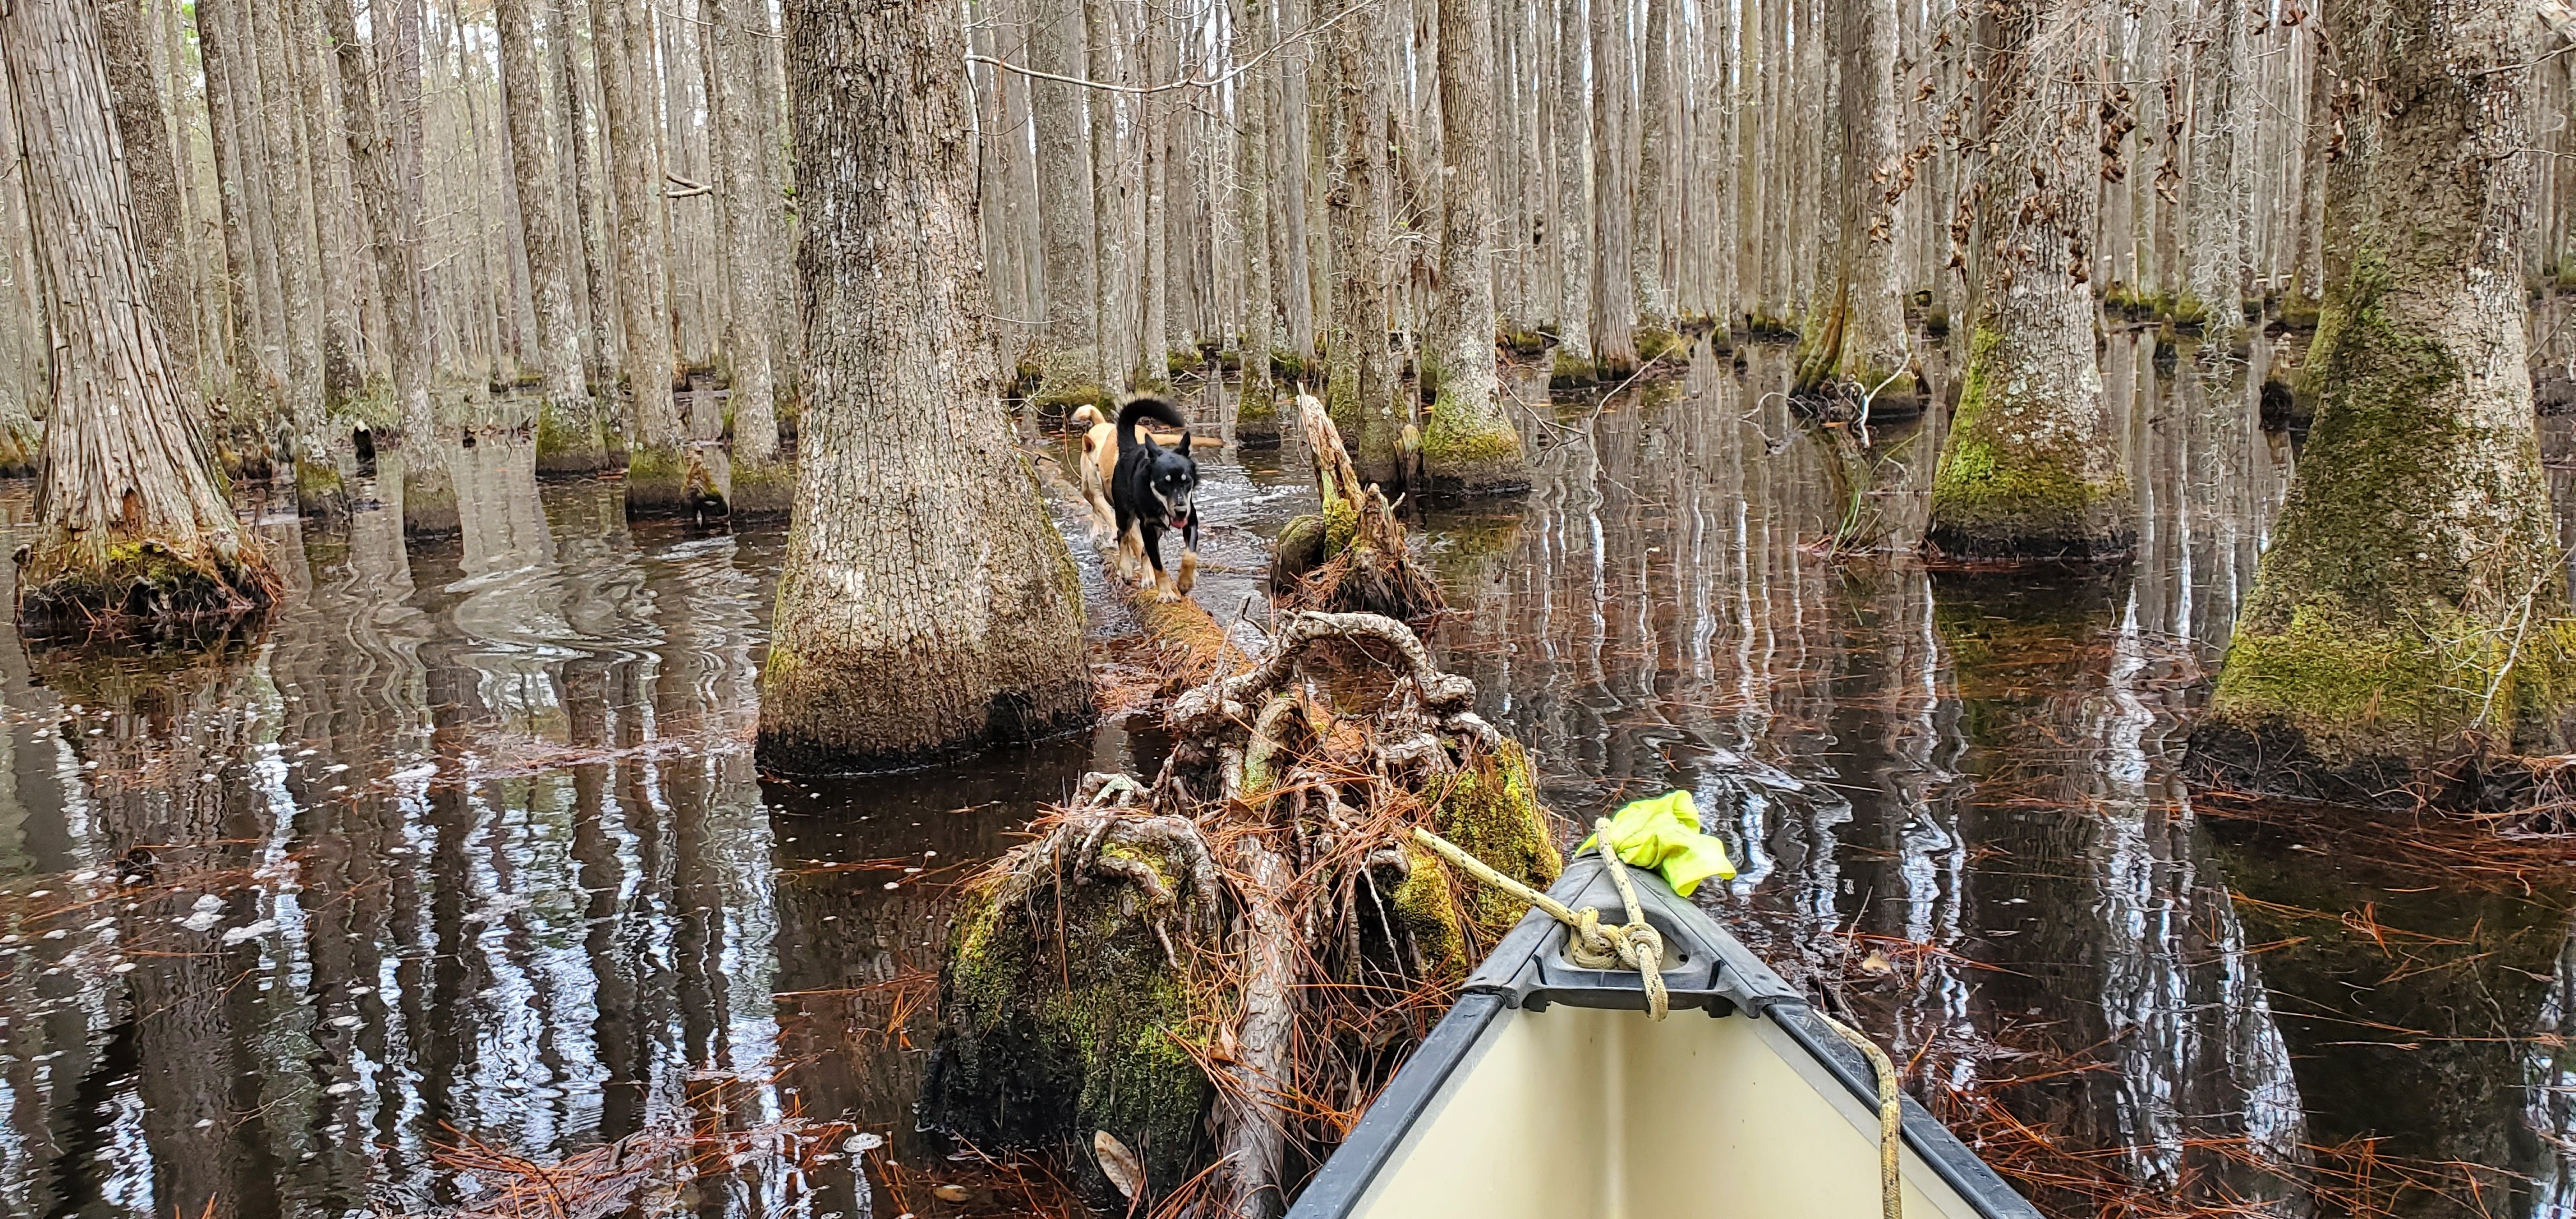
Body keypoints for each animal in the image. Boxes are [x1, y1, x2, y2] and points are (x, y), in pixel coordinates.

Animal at [1112, 397, 1200, 600]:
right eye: (1164, 483)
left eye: (1186, 481)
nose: (1180, 511)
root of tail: (1130, 449)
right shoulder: (1148, 525)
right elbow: (1158, 564)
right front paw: (1166, 592)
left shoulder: (1191, 520)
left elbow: (1190, 555)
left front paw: (1184, 583)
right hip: (1124, 512)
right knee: (1122, 535)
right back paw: (1126, 570)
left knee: (1144, 550)